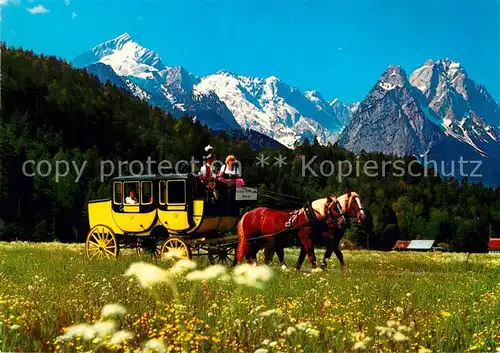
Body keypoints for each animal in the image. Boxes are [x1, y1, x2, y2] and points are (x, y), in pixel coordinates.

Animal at [236, 191, 366, 268]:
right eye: (354, 202)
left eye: (340, 206)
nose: (363, 217)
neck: (312, 217)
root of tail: (247, 214)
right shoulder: (315, 239)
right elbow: (315, 255)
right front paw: (319, 270)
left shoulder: (315, 240)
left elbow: (307, 256)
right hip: (252, 240)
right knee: (249, 254)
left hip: (263, 241)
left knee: (255, 254)